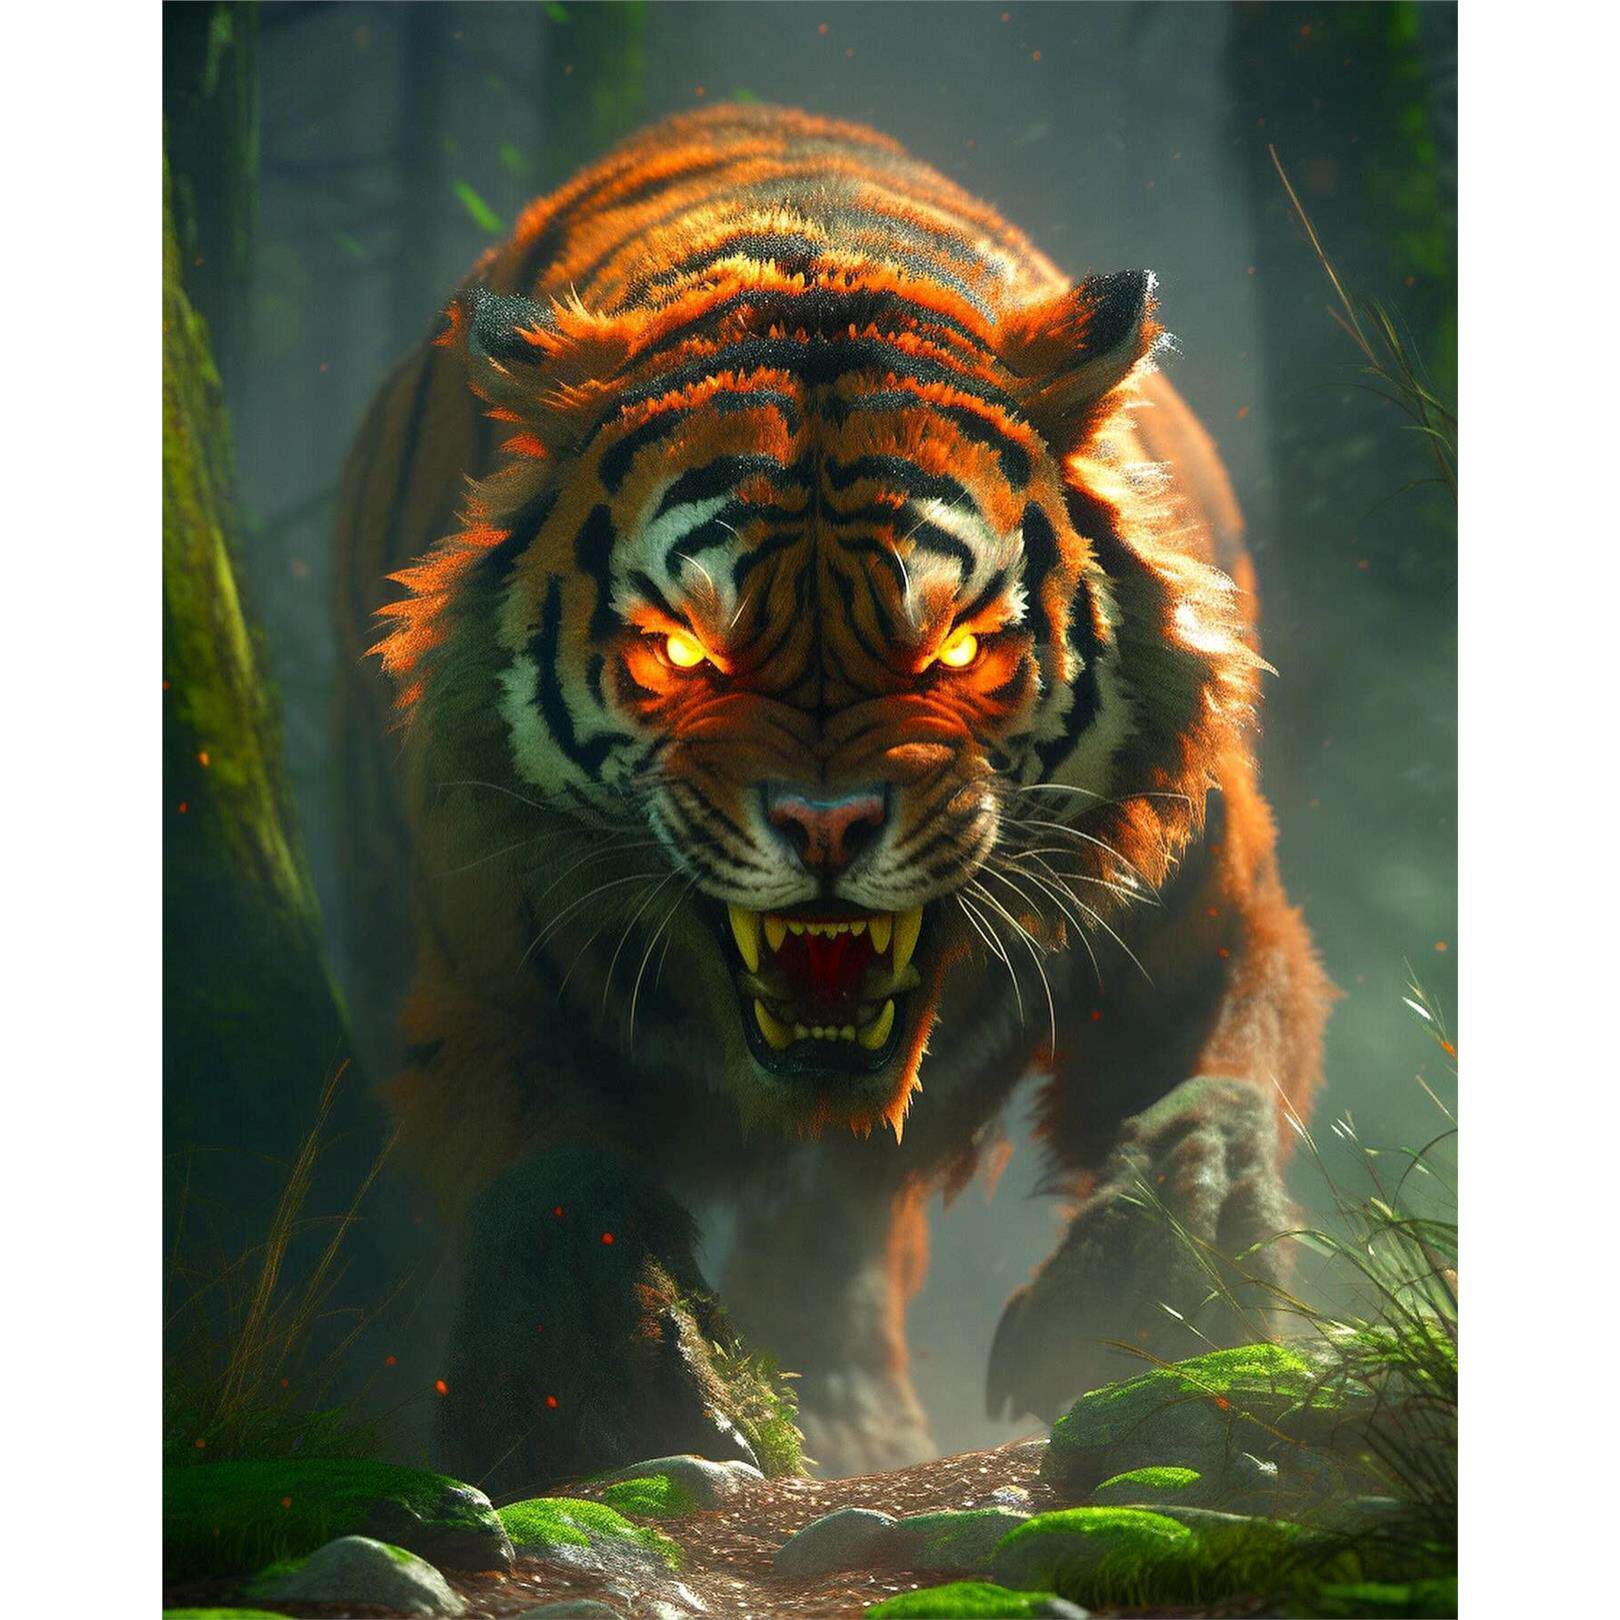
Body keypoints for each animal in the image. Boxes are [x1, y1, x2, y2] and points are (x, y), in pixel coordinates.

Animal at [335, 104, 1333, 1491]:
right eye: (684, 653)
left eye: (955, 647)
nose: (825, 828)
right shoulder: (484, 981)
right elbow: (554, 1166)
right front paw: (608, 1390)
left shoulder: (1207, 920)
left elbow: (1219, 1092)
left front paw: (1153, 1300)